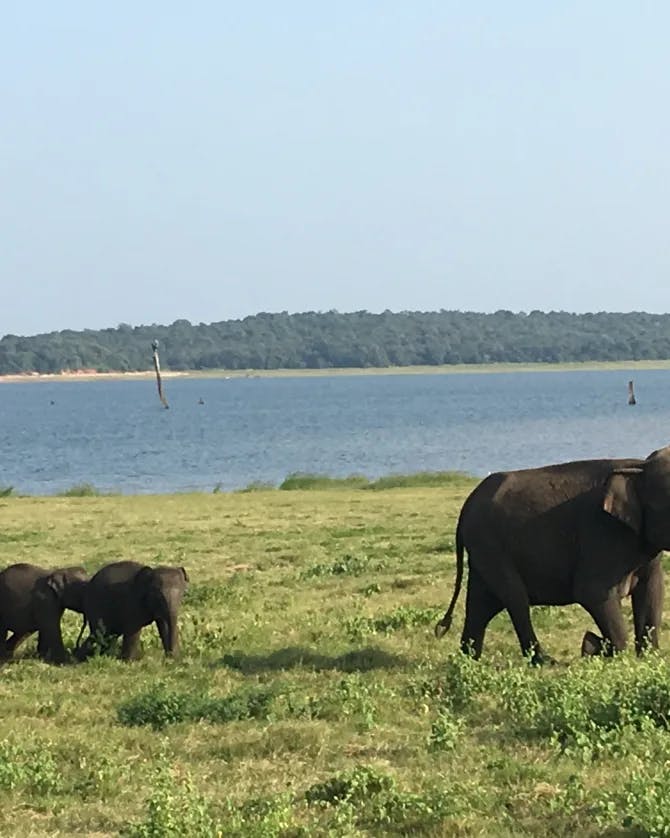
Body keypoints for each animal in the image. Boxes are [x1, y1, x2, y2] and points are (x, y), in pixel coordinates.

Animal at [436, 442, 670, 668]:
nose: (592, 643)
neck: (640, 466)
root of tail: (465, 509)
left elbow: (652, 590)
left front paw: (648, 658)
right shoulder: (602, 532)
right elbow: (592, 592)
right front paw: (614, 655)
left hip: (483, 550)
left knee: (480, 605)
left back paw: (468, 660)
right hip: (490, 544)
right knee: (515, 599)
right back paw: (543, 661)